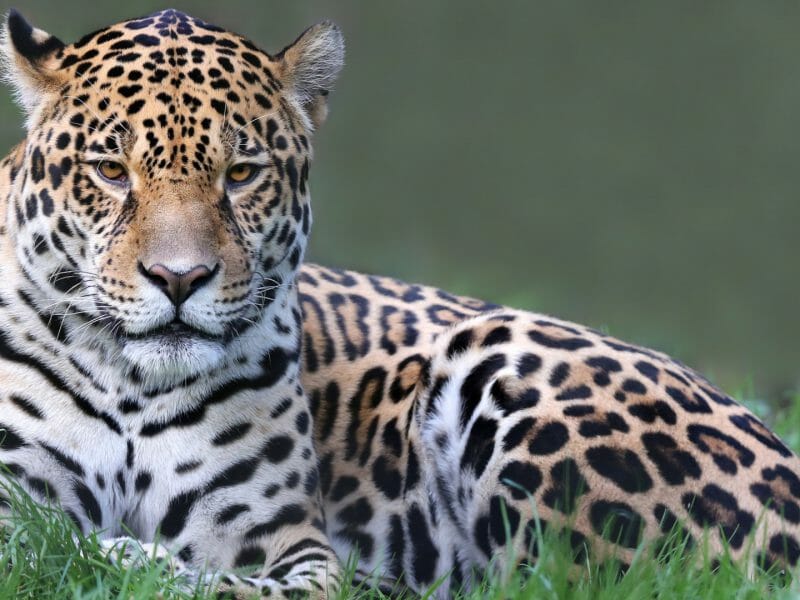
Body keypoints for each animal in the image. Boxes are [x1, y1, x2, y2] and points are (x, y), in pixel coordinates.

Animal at [0, 7, 798, 599]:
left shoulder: (288, 541)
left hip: (499, 351)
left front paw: (126, 556)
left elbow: (233, 583)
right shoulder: (15, 502)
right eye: (110, 171)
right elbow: (45, 542)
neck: (136, 387)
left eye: (242, 173)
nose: (178, 278)